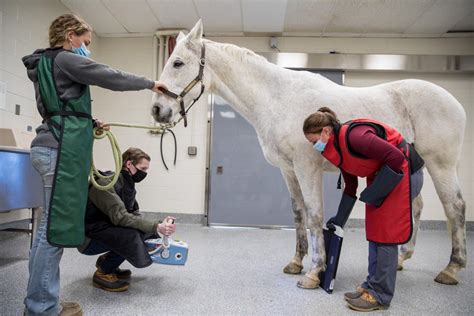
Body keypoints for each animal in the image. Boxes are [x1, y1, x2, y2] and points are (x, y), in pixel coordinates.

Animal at [152, 20, 466, 288]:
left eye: (178, 63)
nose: (157, 110)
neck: (278, 98)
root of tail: (455, 103)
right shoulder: (289, 170)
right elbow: (298, 214)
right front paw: (296, 262)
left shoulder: (307, 168)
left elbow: (315, 215)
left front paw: (315, 272)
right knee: (416, 206)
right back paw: (403, 258)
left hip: (441, 165)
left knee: (455, 208)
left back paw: (451, 269)